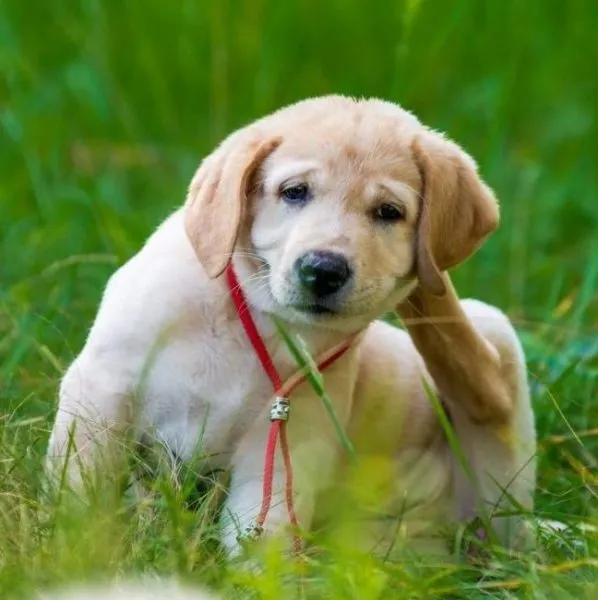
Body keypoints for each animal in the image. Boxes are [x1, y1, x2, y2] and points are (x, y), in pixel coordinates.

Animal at [44, 94, 536, 556]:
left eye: (388, 212)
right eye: (295, 192)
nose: (323, 270)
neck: (255, 319)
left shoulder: (286, 444)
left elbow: (265, 542)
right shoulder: (104, 388)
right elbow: (82, 488)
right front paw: (75, 551)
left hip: (493, 385)